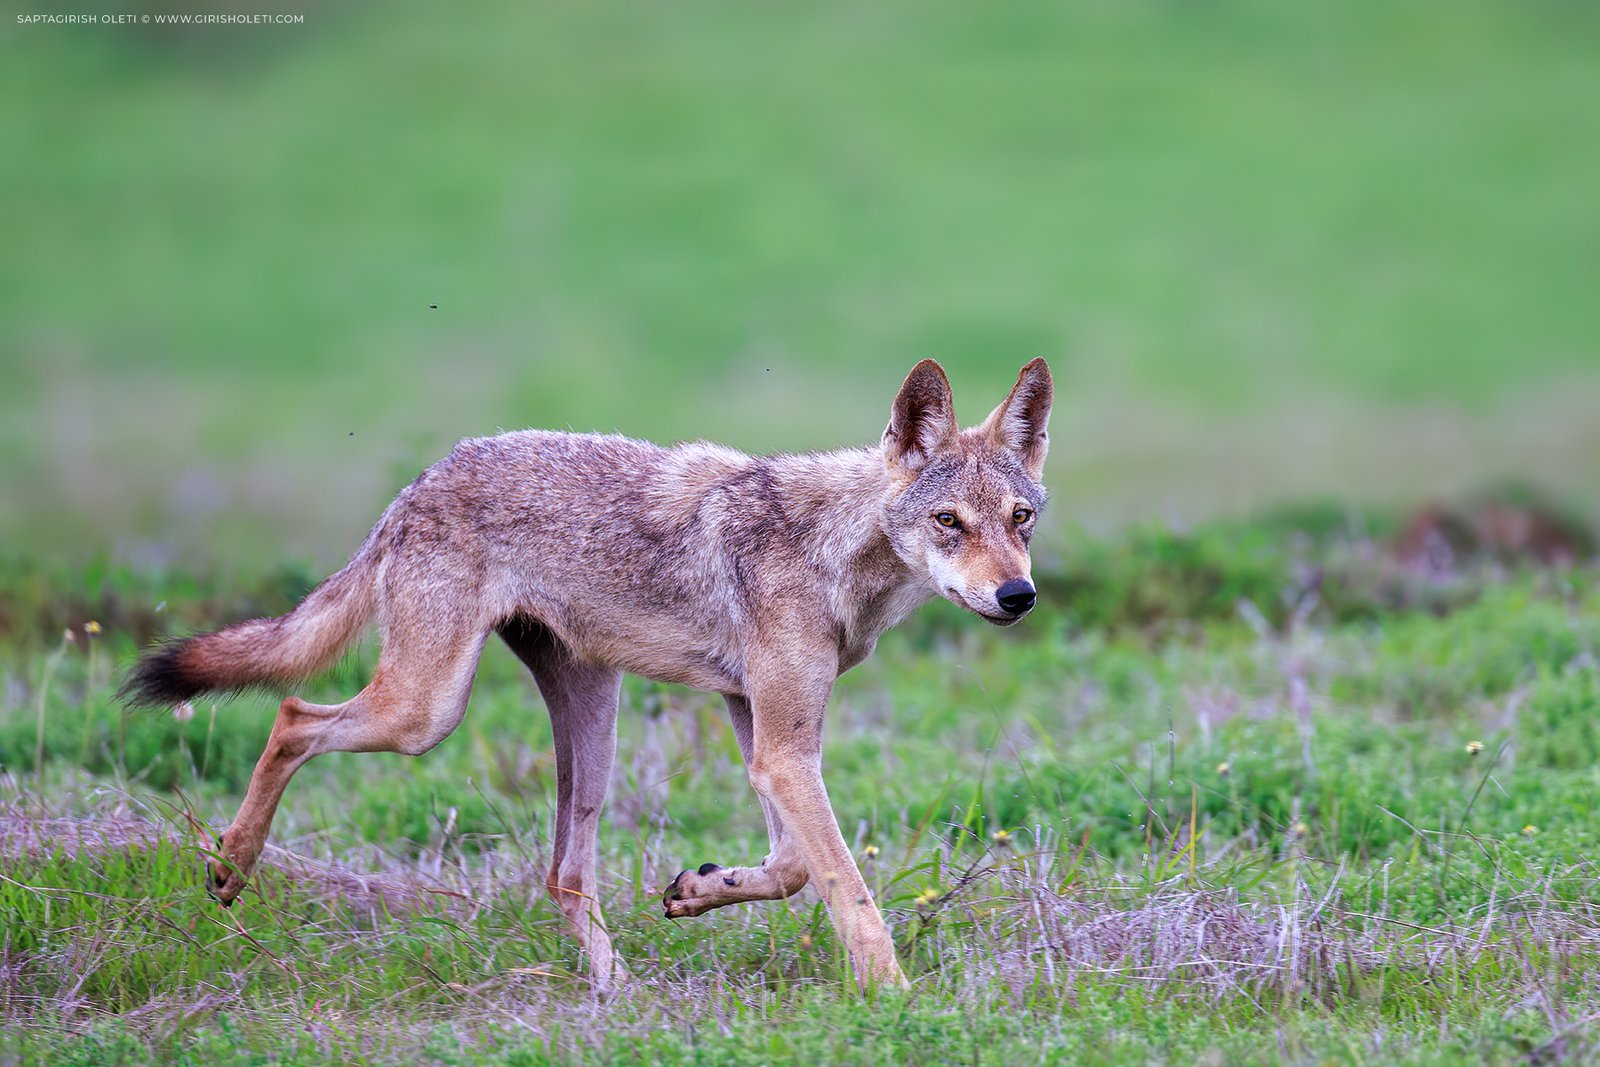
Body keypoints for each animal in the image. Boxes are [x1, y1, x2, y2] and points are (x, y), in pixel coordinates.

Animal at [123, 357, 1052, 989]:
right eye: (949, 521)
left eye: (1021, 519)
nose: (1019, 595)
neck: (834, 554)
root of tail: (419, 482)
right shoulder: (783, 754)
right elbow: (849, 893)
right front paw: (893, 998)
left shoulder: (763, 734)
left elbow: (793, 867)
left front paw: (696, 888)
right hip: (426, 713)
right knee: (290, 715)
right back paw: (230, 866)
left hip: (587, 721)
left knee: (564, 876)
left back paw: (621, 995)